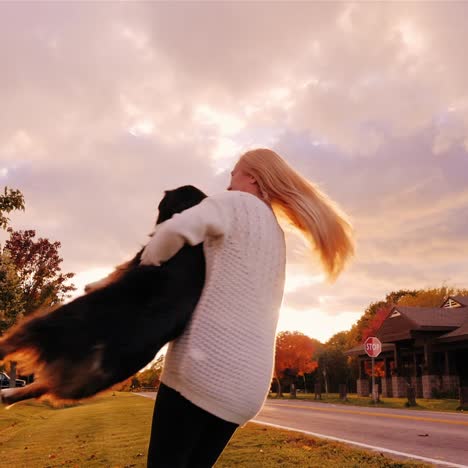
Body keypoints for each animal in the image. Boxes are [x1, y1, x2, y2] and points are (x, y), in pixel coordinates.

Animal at [0, 186, 208, 406]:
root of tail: (103, 352)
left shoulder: (142, 256)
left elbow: (116, 270)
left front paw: (92, 284)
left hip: (50, 322)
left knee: (13, 342)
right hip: (84, 385)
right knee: (40, 388)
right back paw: (8, 395)